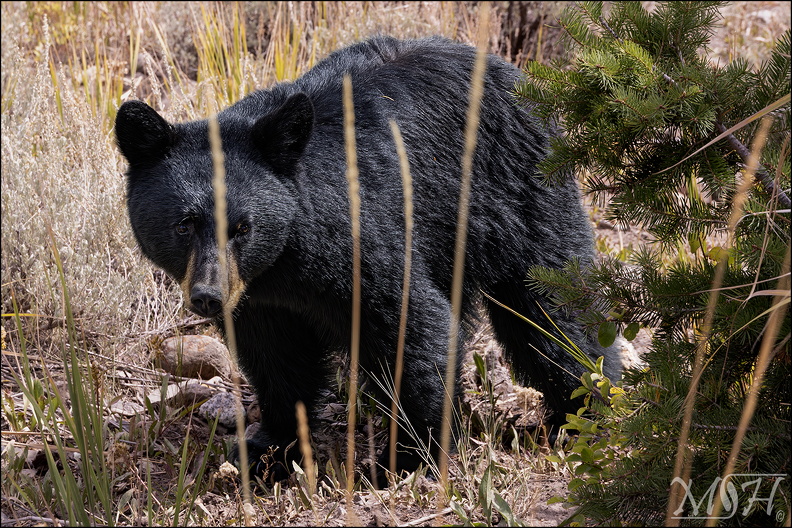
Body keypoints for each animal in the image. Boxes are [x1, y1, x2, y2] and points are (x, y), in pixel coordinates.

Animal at [115, 35, 623, 484]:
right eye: (184, 225)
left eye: (242, 227)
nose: (208, 295)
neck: (285, 263)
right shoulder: (260, 299)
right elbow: (278, 360)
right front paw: (268, 450)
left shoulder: (361, 240)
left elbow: (412, 327)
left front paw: (410, 458)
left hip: (518, 185)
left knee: (553, 302)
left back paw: (587, 409)